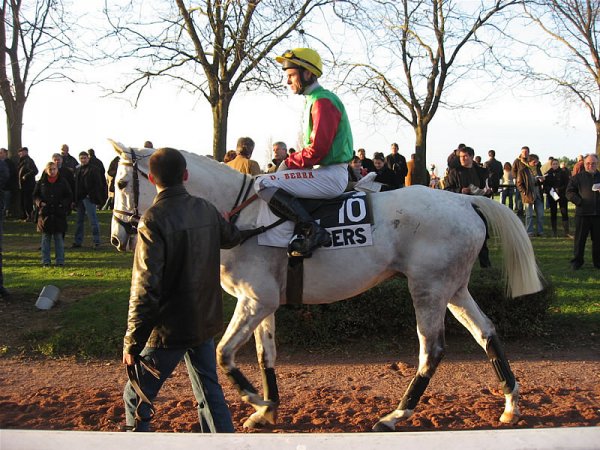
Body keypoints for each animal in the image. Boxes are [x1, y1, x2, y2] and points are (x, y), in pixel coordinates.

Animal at [109, 140, 544, 428]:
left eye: (119, 184)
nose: (117, 238)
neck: (238, 217)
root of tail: (463, 200)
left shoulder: (256, 300)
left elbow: (223, 354)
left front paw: (254, 401)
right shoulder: (262, 303)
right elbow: (266, 356)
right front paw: (267, 409)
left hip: (428, 289)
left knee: (431, 351)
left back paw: (396, 415)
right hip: (453, 288)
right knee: (486, 332)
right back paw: (510, 405)